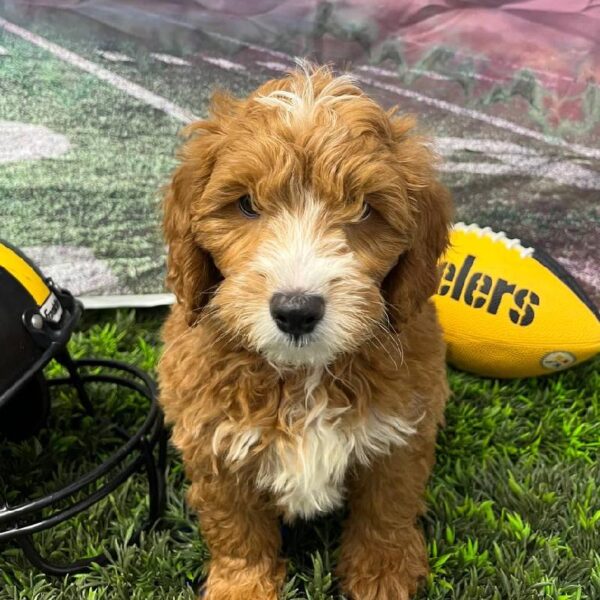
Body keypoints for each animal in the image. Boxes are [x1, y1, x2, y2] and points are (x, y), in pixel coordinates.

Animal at [157, 63, 452, 596]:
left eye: (363, 209)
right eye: (246, 204)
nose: (296, 311)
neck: (302, 375)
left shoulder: (403, 433)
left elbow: (388, 507)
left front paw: (383, 575)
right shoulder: (213, 443)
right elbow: (236, 528)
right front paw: (241, 586)